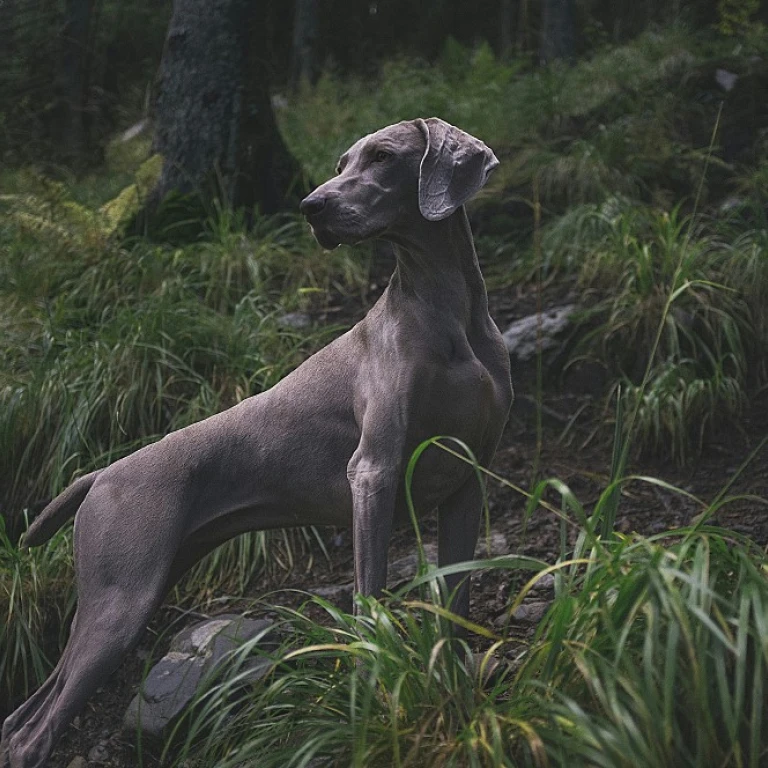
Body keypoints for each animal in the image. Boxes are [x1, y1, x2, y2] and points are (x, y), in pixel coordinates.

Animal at [1, 117, 516, 764]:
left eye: (382, 157)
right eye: (342, 162)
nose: (311, 206)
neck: (448, 311)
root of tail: (100, 473)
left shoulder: (469, 480)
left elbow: (457, 603)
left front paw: (458, 694)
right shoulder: (373, 471)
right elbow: (369, 598)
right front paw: (373, 689)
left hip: (129, 590)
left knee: (23, 716)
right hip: (118, 603)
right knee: (32, 734)